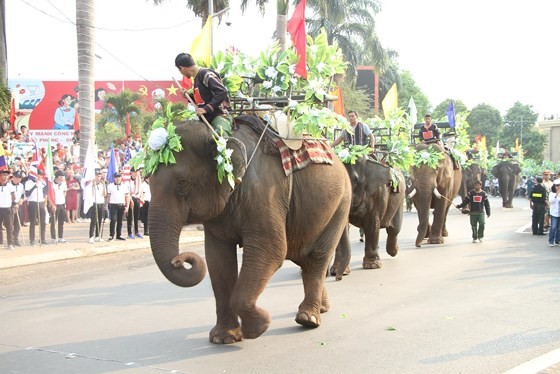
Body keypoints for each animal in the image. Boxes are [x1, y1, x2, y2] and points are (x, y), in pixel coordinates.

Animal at [147, 117, 352, 344]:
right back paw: (321, 309)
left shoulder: (264, 193)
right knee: (304, 258)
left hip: (340, 204)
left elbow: (271, 250)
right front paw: (224, 338)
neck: (220, 136)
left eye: (182, 183)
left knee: (317, 257)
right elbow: (217, 259)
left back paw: (308, 319)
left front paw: (258, 327)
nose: (179, 260)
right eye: (146, 179)